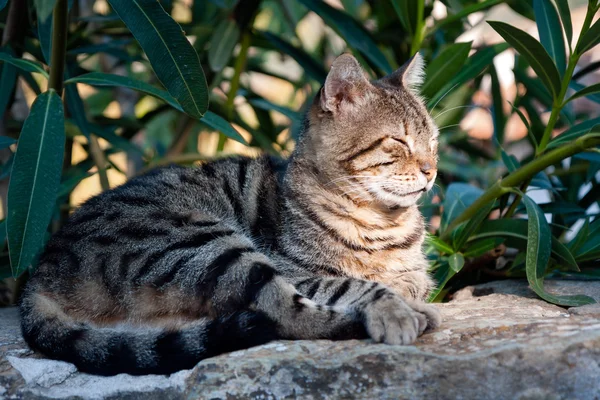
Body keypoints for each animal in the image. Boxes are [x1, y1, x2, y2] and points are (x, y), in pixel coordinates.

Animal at [19, 52, 440, 376]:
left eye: (433, 141)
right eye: (398, 141)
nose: (431, 170)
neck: (383, 222)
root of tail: (39, 274)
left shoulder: (415, 273)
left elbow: (409, 281)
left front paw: (408, 296)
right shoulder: (294, 270)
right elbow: (357, 285)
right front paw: (397, 309)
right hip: (209, 244)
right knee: (284, 314)